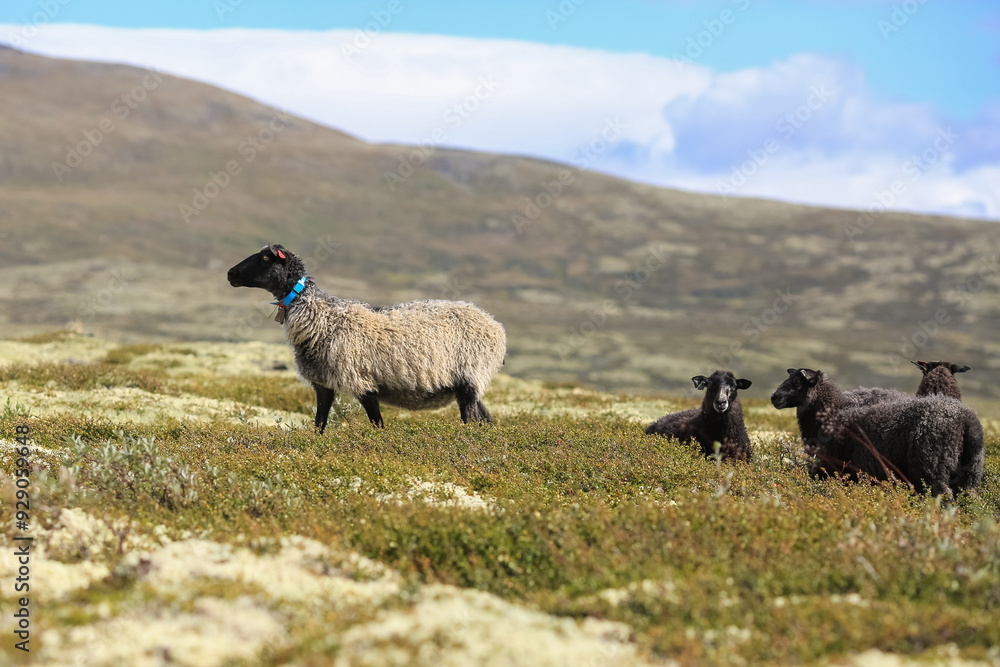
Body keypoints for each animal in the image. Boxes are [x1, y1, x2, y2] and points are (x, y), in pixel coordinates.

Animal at [227, 244, 506, 431]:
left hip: (470, 377)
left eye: (265, 257)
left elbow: (377, 425)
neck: (321, 316)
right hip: (468, 385)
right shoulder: (323, 385)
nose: (231, 274)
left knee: (471, 421)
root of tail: (496, 326)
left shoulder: (363, 382)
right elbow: (319, 424)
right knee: (485, 420)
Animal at [770, 368, 984, 497]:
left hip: (931, 467)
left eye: (798, 383)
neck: (835, 410)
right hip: (971, 474)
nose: (774, 397)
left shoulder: (833, 468)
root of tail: (966, 421)